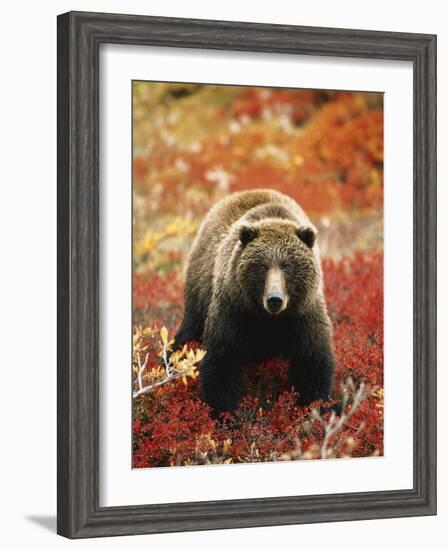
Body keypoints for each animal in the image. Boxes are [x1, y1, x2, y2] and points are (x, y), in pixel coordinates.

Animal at [173, 189, 334, 414]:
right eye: (262, 266)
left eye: (287, 265)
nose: (274, 299)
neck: (268, 319)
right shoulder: (234, 309)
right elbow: (222, 360)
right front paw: (223, 411)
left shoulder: (303, 315)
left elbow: (312, 362)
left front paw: (316, 407)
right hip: (200, 289)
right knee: (189, 331)